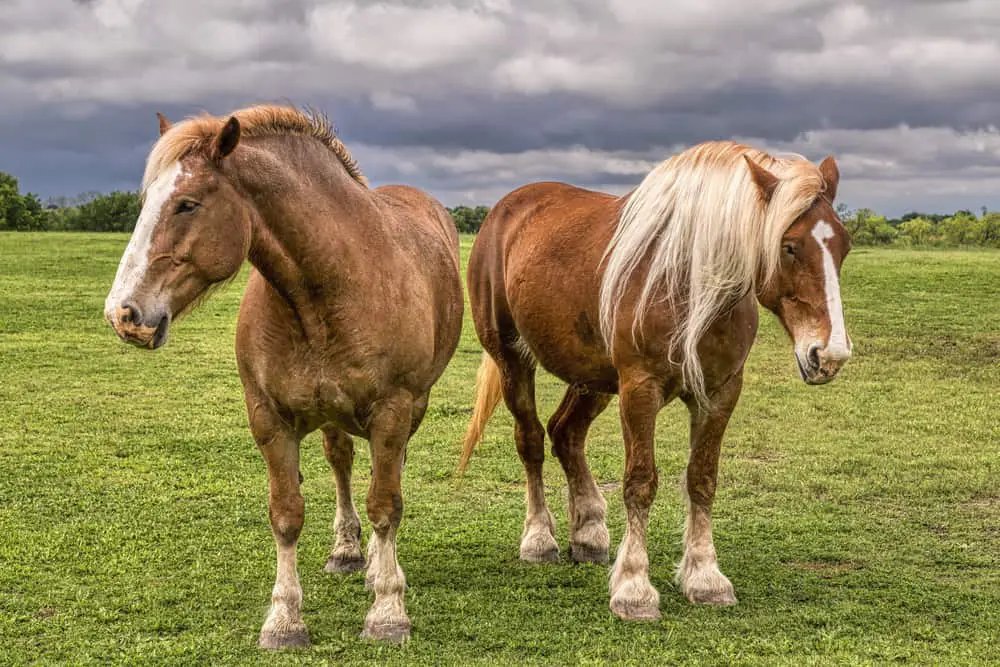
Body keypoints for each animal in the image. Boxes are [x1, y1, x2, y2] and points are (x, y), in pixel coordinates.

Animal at [103, 104, 462, 648]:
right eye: (146, 204)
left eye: (187, 204)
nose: (123, 313)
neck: (327, 289)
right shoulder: (268, 418)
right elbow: (286, 514)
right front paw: (284, 619)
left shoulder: (393, 411)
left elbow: (385, 504)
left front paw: (387, 610)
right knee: (341, 462)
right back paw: (348, 552)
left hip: (410, 409)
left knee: (386, 477)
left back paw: (379, 567)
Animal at [460, 140, 852, 620]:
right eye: (790, 246)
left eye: (844, 246)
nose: (828, 355)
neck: (690, 283)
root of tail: (506, 209)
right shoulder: (639, 389)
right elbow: (640, 482)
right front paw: (634, 587)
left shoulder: (720, 393)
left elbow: (702, 479)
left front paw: (705, 577)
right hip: (513, 359)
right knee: (531, 440)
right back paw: (539, 538)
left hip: (593, 378)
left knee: (566, 434)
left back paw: (588, 531)